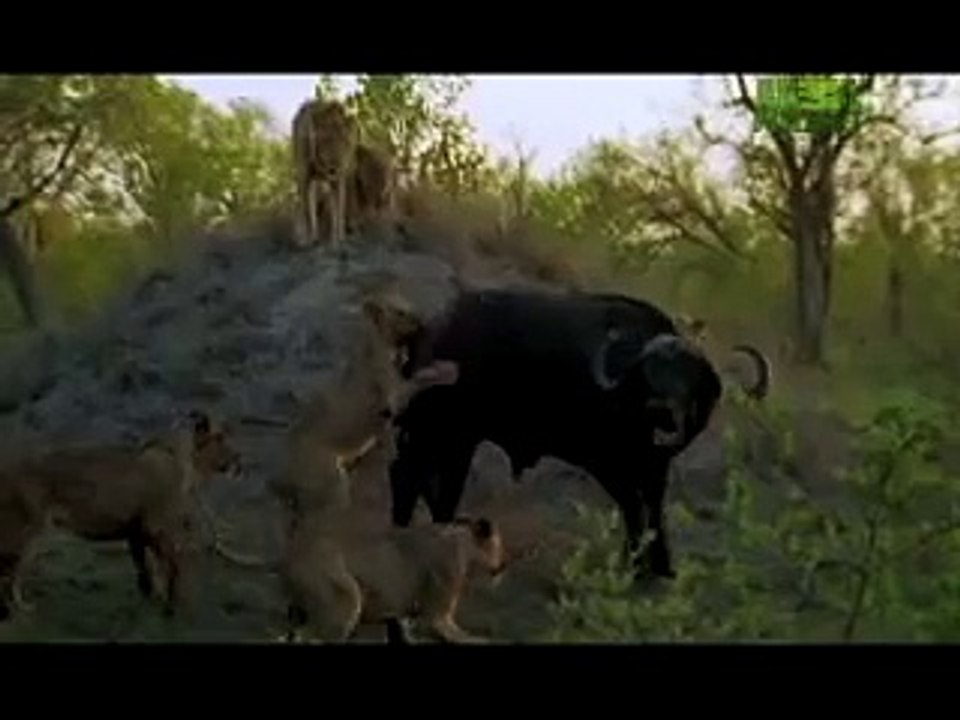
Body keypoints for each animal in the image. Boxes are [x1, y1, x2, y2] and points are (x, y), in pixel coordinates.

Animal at [0, 409, 240, 621]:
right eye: (219, 437)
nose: (238, 460)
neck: (188, 466)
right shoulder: (159, 529)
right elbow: (171, 570)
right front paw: (172, 609)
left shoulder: (137, 533)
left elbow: (145, 573)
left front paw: (151, 603)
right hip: (30, 530)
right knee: (12, 574)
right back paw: (23, 608)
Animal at [291, 96, 358, 249]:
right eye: (325, 140)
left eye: (344, 142)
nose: (335, 166)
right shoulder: (304, 175)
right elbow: (306, 209)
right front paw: (307, 239)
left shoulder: (338, 179)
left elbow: (338, 209)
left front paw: (338, 241)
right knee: (307, 203)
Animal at [389, 287, 771, 580]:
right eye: (650, 372)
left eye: (687, 374)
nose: (662, 407)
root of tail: (431, 327)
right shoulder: (606, 465)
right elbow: (634, 509)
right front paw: (636, 566)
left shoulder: (654, 469)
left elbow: (654, 512)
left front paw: (662, 567)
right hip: (440, 430)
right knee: (410, 479)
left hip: (452, 438)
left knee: (430, 485)